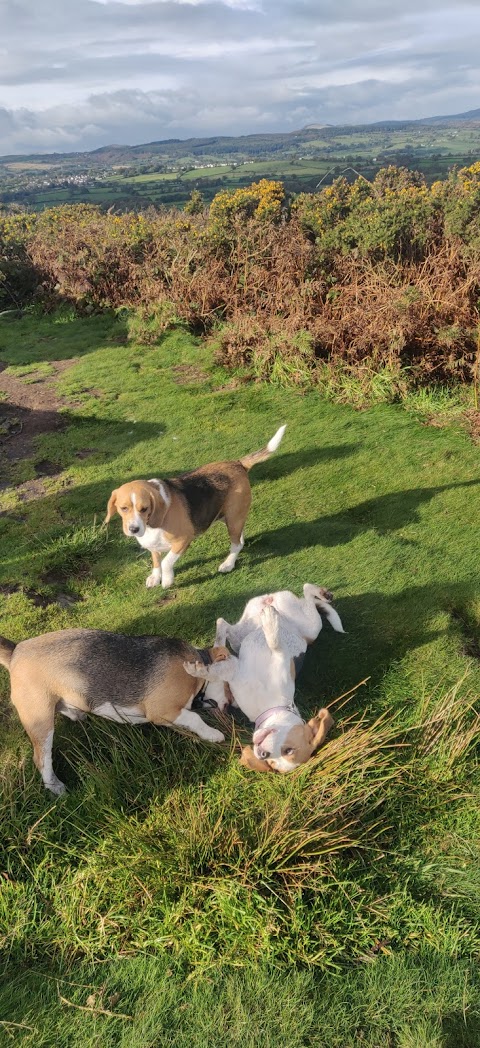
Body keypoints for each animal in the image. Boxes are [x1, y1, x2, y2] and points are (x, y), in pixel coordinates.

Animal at [0, 628, 230, 792]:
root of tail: (16, 650)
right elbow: (194, 718)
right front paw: (213, 734)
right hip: (40, 720)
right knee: (42, 760)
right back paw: (57, 789)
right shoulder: (162, 711)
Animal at [182, 586, 343, 775]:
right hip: (308, 626)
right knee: (307, 593)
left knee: (223, 624)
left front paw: (198, 670)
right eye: (288, 750)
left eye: (273, 762)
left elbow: (214, 672)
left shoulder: (235, 669)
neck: (269, 707)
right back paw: (319, 596)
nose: (262, 753)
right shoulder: (278, 657)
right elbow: (274, 642)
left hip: (253, 633)